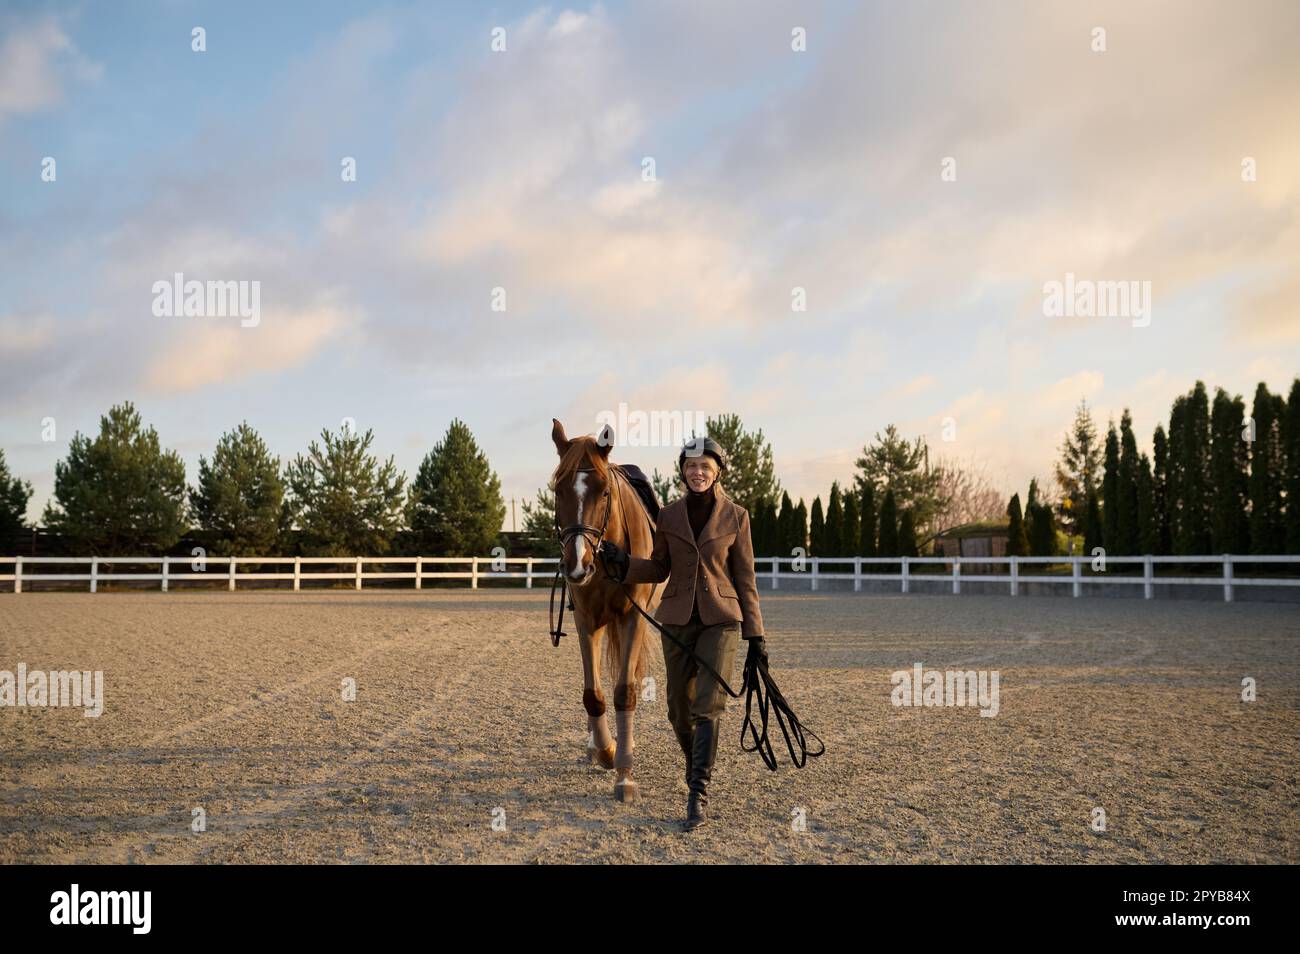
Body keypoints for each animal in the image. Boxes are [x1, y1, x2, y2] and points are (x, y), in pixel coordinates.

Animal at [548, 421, 660, 805]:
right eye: (558, 490)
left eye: (605, 491)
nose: (576, 564)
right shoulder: (586, 620)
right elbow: (592, 695)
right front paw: (606, 750)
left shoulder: (633, 619)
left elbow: (624, 691)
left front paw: (624, 773)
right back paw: (595, 745)